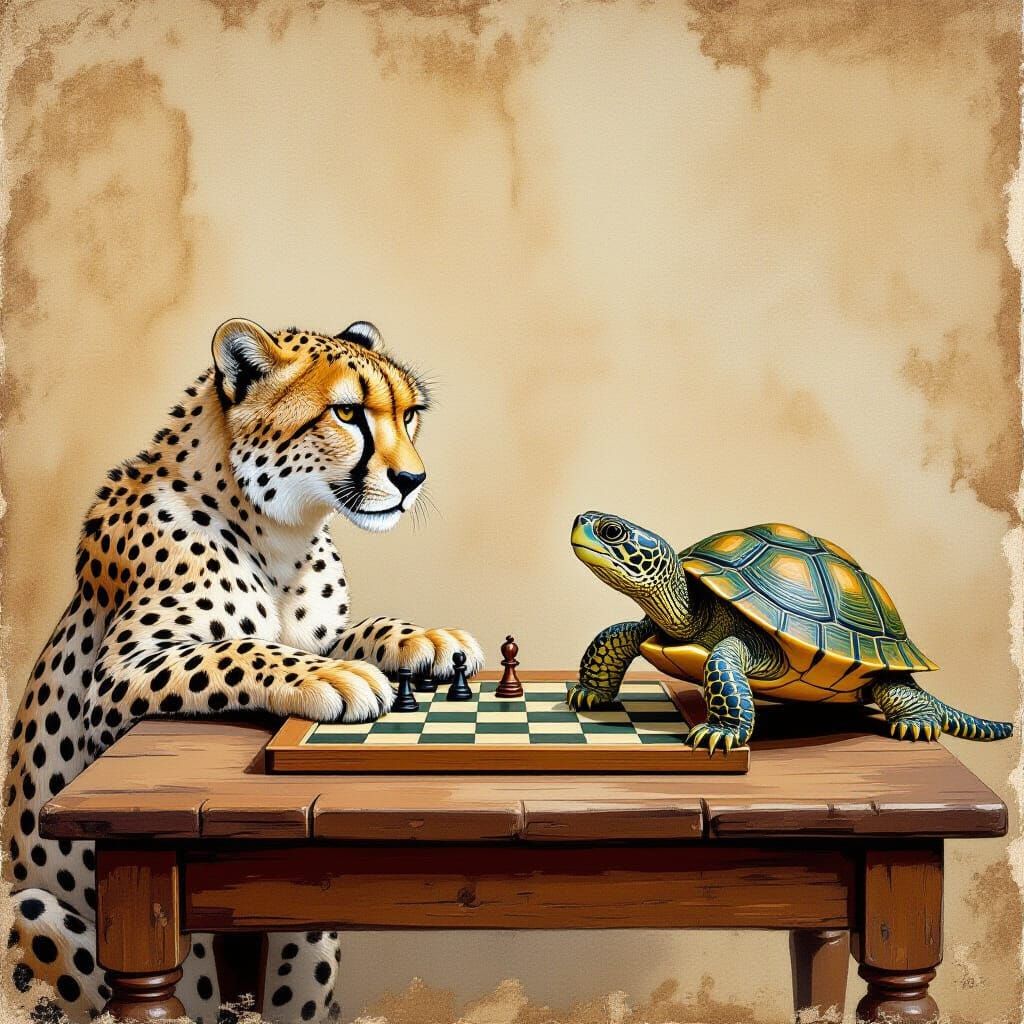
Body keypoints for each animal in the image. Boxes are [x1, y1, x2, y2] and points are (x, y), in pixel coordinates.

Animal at [2, 317, 484, 1023]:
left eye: (410, 413)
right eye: (347, 412)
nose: (412, 480)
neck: (279, 531)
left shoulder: (326, 633)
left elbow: (353, 631)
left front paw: (427, 638)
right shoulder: (117, 677)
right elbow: (240, 649)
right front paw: (337, 680)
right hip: (32, 910)